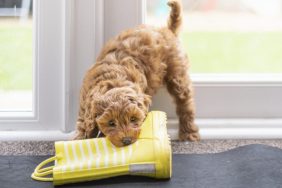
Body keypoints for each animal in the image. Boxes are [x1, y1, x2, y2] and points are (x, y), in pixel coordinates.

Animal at [74, 0, 199, 147]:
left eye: (133, 119)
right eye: (111, 123)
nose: (127, 140)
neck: (114, 81)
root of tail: (166, 30)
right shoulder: (85, 107)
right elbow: (84, 127)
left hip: (177, 73)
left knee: (185, 104)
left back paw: (189, 133)